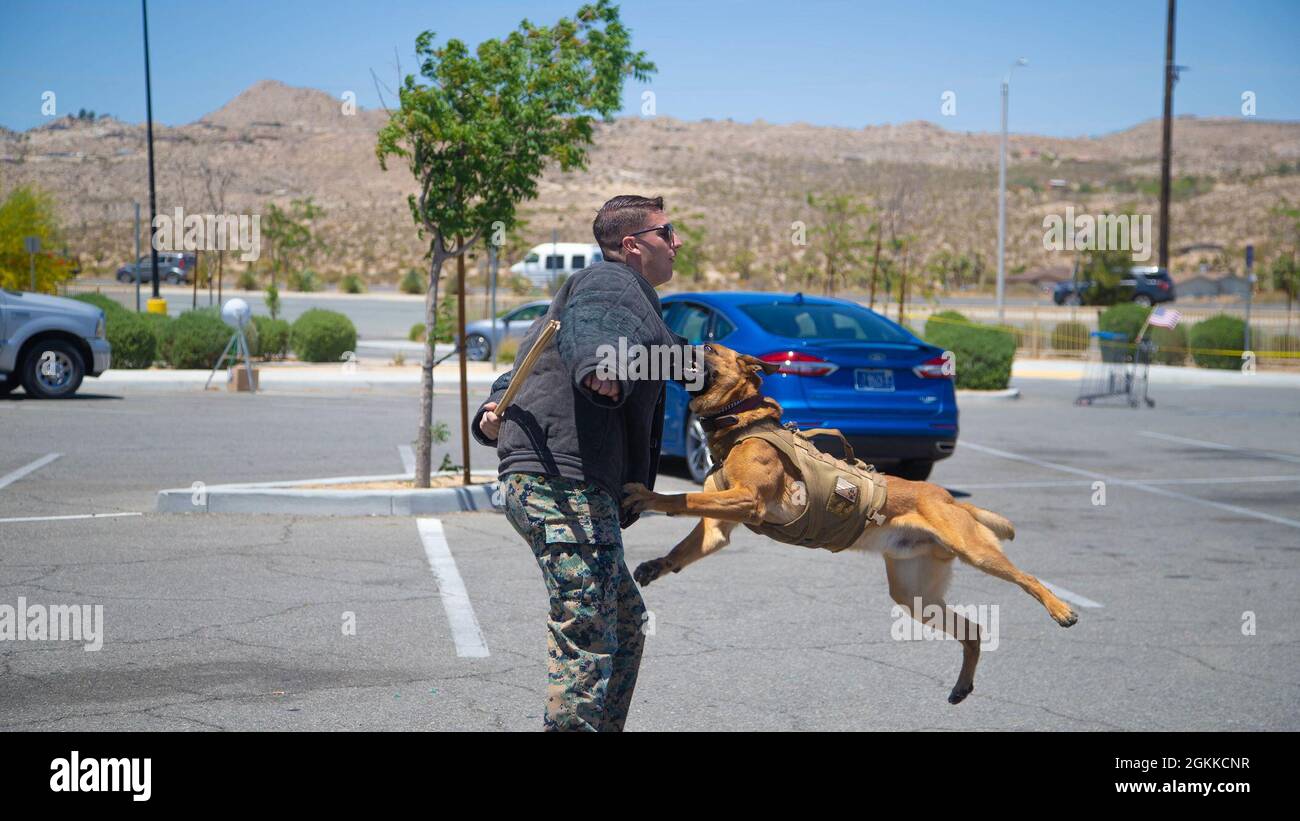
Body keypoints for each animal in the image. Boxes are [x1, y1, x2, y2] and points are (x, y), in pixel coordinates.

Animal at [618, 342, 1076, 701]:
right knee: (975, 630)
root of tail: (946, 496)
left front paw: (649, 495)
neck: (741, 420)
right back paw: (962, 685)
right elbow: (684, 543)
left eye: (708, 348)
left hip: (975, 552)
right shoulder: (718, 527)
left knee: (1028, 579)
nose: (676, 340)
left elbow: (684, 498)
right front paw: (655, 565)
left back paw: (1061, 609)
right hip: (914, 596)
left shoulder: (746, 500)